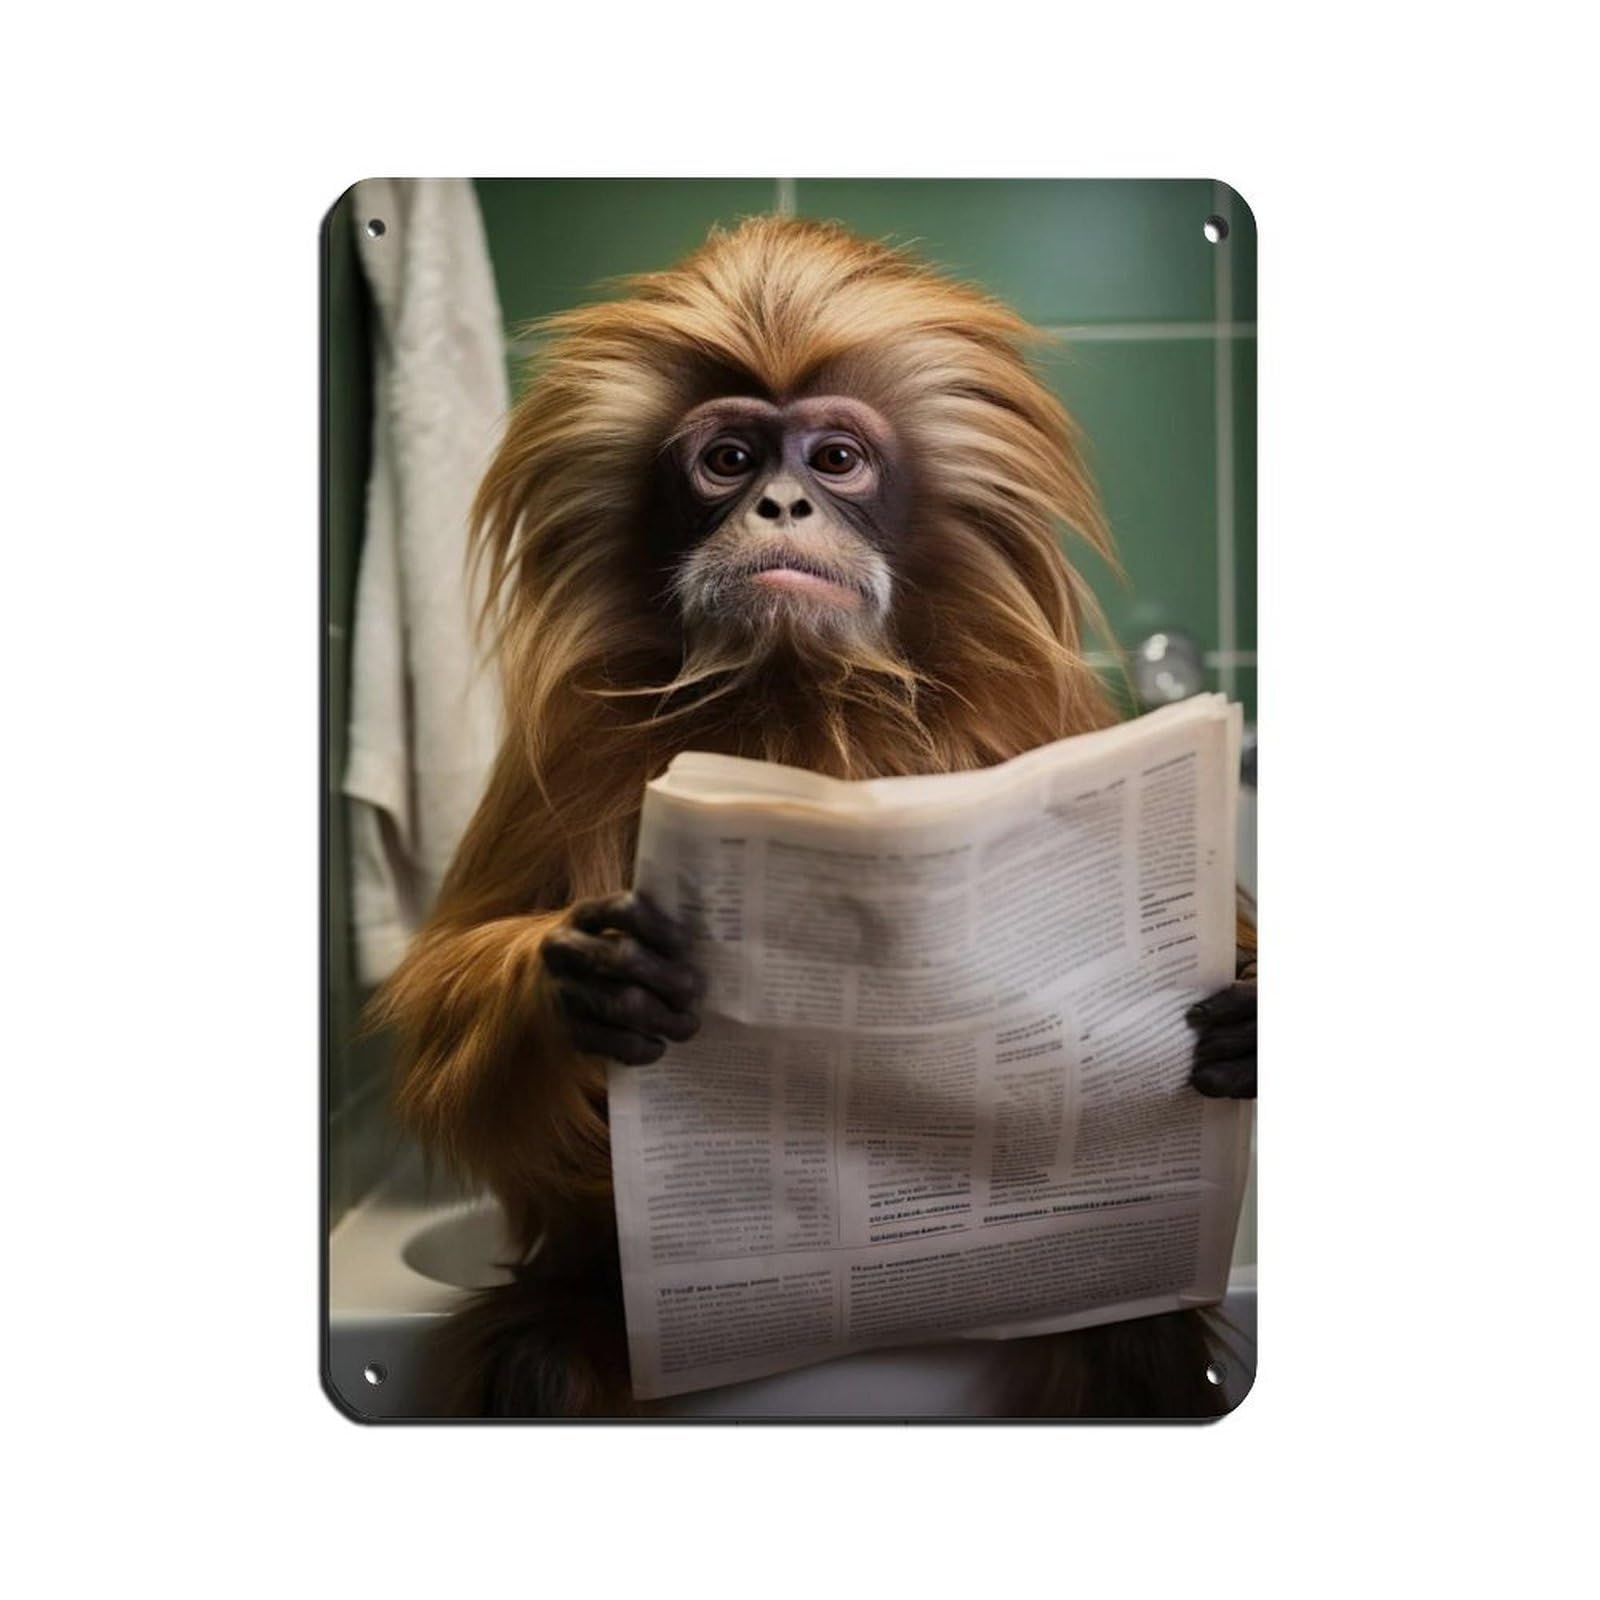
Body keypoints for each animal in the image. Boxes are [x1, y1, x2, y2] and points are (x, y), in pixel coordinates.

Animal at [375, 216, 1257, 1419]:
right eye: (730, 462)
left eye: (834, 461)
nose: (781, 506)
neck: (797, 696)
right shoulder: (562, 740)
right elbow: (446, 996)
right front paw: (589, 985)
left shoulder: (1037, 713)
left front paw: (1246, 1018)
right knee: (538, 1364)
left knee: (1136, 1329)